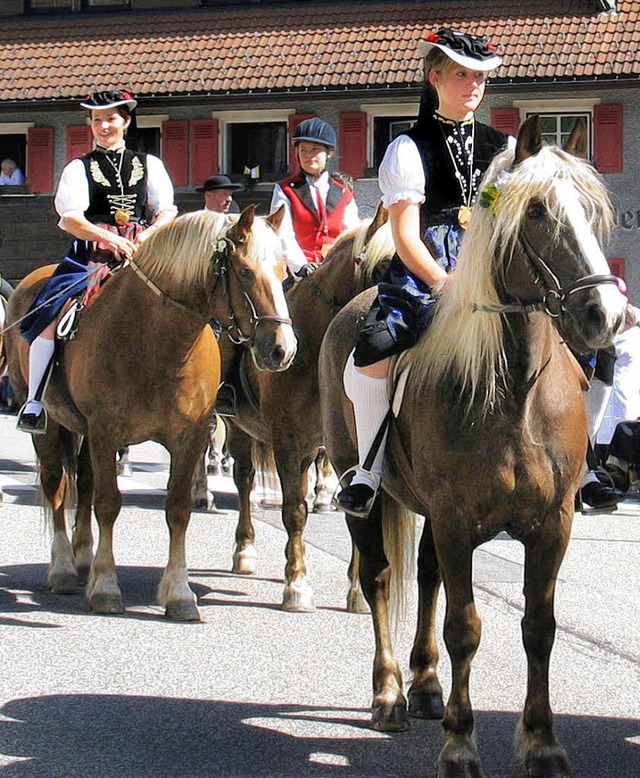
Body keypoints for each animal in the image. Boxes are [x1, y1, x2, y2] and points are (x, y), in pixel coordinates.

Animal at [219, 203, 390, 608]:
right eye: (385, 269)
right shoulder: (288, 441)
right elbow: (294, 510)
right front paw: (296, 583)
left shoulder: (348, 448)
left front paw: (357, 590)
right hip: (237, 427)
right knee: (245, 479)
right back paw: (244, 550)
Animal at [318, 116, 628, 776]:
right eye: (536, 211)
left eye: (592, 210)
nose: (607, 316)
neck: (514, 395)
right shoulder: (458, 520)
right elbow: (464, 627)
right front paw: (460, 746)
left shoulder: (551, 524)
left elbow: (538, 626)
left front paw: (542, 742)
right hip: (362, 485)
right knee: (380, 577)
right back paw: (389, 693)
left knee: (427, 575)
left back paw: (426, 685)